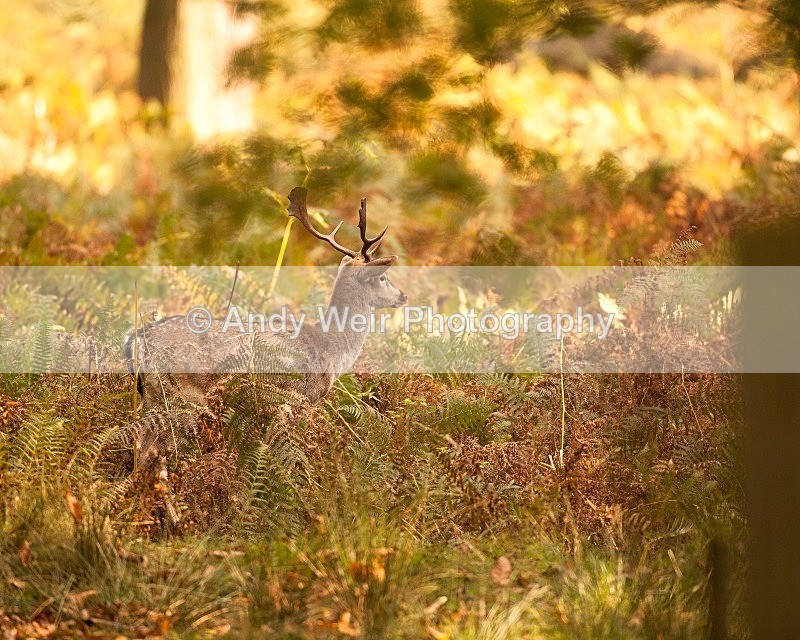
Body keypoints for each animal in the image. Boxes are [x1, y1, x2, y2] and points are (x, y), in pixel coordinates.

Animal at [125, 186, 407, 412]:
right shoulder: (300, 395)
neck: (332, 350)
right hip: (175, 390)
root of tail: (135, 340)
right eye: (383, 278)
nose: (403, 295)